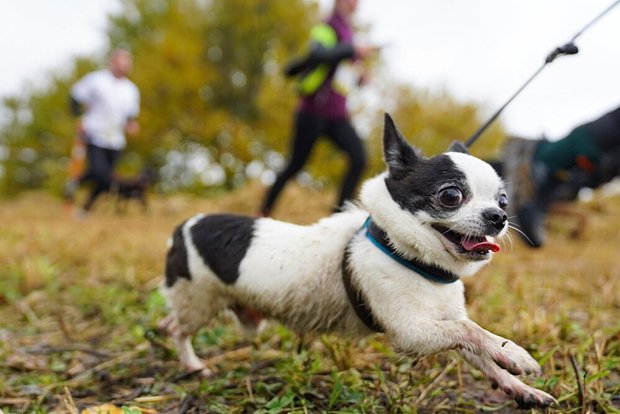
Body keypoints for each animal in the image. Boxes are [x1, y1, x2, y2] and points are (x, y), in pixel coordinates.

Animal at [160, 115, 556, 410]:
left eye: (504, 201)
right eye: (451, 195)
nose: (498, 217)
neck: (416, 261)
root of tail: (183, 226)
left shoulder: (442, 322)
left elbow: (482, 351)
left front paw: (518, 385)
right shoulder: (412, 332)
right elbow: (471, 331)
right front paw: (518, 355)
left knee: (170, 321)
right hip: (199, 302)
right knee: (177, 329)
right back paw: (193, 365)